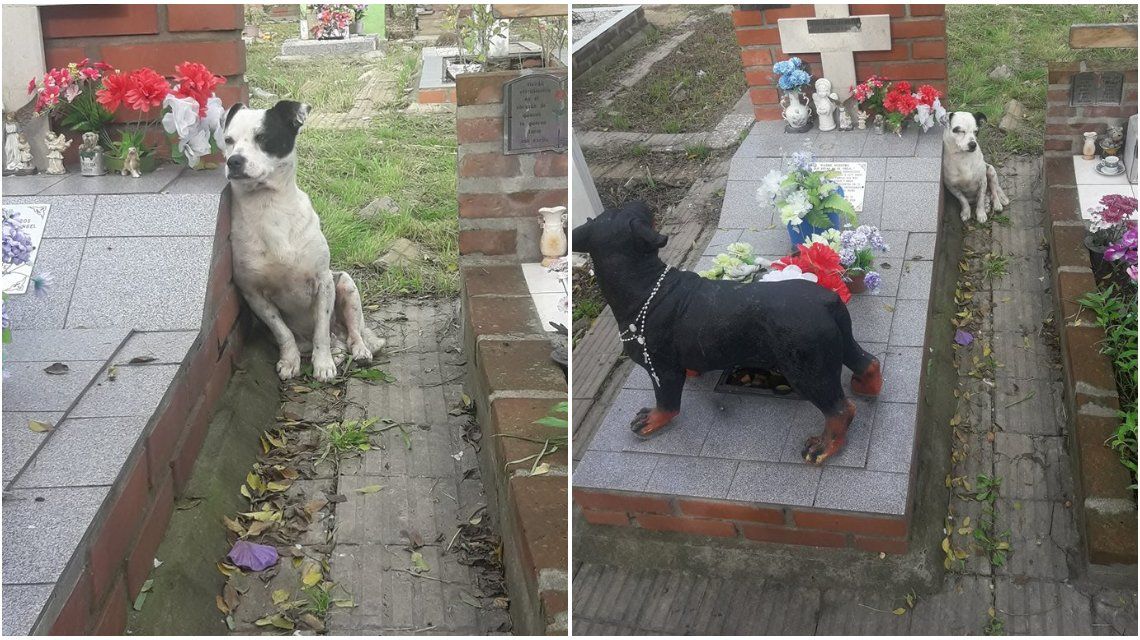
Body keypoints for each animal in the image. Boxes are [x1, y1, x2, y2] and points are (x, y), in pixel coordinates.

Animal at [222, 99, 387, 378]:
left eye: (262, 137)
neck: (270, 208)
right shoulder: (254, 295)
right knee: (331, 341)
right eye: (228, 140)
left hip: (346, 286)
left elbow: (321, 329)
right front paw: (290, 361)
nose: (234, 161)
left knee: (353, 332)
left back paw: (359, 351)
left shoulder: (324, 283)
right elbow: (282, 332)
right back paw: (336, 354)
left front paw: (323, 365)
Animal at [574, 199, 884, 463]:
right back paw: (866, 386)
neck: (648, 285)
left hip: (808, 369)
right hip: (837, 345)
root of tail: (827, 300)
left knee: (840, 410)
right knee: (868, 362)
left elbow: (667, 403)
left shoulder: (662, 370)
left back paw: (824, 446)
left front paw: (653, 419)